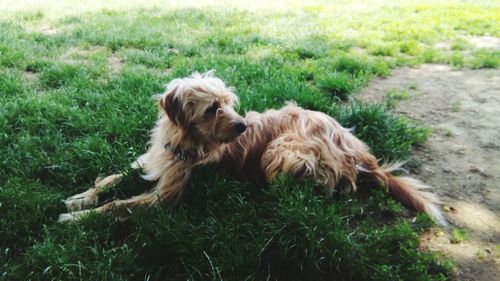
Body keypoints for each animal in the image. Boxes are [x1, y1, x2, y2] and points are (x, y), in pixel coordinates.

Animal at [57, 71, 446, 224]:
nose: (243, 125)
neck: (184, 145)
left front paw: (78, 219)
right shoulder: (150, 161)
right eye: (212, 108)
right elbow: (111, 179)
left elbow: (118, 205)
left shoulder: (164, 198)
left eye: (229, 103)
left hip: (283, 148)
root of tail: (360, 150)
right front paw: (80, 199)